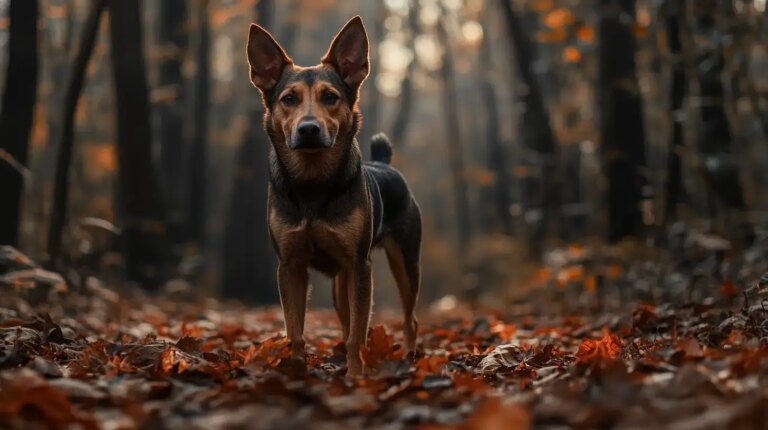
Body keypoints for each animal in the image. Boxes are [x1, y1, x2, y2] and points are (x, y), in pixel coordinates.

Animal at [246, 15, 424, 374]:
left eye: (330, 97)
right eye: (288, 99)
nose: (309, 129)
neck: (312, 183)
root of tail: (383, 163)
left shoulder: (359, 266)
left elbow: (359, 334)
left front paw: (356, 376)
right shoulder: (290, 265)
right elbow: (295, 332)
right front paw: (297, 372)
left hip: (405, 261)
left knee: (407, 319)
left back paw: (408, 358)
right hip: (341, 283)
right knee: (345, 320)